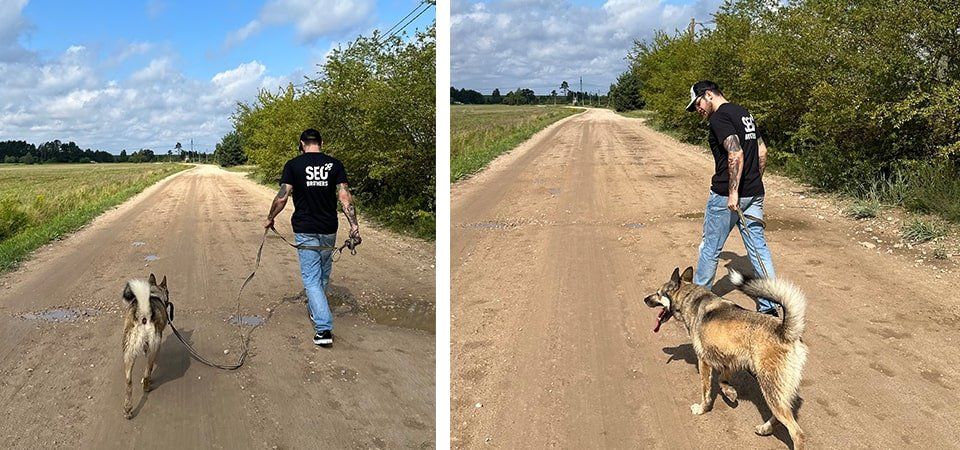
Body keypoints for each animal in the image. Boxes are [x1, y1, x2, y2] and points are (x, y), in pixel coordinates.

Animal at [122, 272, 171, 420]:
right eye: (168, 291)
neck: (154, 293)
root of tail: (144, 315)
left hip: (128, 353)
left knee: (128, 382)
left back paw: (128, 409)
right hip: (153, 350)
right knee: (147, 372)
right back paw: (147, 386)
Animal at [644, 266, 808, 448]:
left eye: (658, 293)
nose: (645, 299)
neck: (690, 297)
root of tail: (785, 331)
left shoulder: (704, 361)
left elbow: (706, 391)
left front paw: (702, 409)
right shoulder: (730, 359)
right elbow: (722, 378)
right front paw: (729, 392)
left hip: (770, 387)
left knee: (796, 433)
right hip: (776, 390)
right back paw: (765, 428)